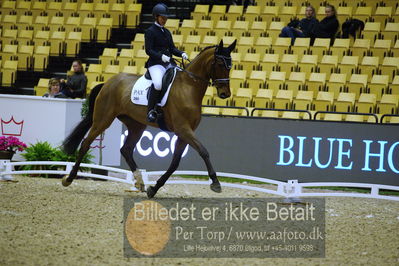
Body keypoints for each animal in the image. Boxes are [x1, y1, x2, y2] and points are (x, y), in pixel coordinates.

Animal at [62, 39, 236, 197]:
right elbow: (203, 151)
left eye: (230, 66)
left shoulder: (185, 132)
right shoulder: (183, 129)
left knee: (126, 149)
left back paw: (140, 182)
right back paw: (68, 179)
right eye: (219, 64)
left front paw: (154, 188)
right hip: (103, 119)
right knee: (86, 143)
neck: (188, 87)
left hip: (136, 125)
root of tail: (107, 83)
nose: (225, 94)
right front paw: (215, 183)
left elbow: (175, 163)